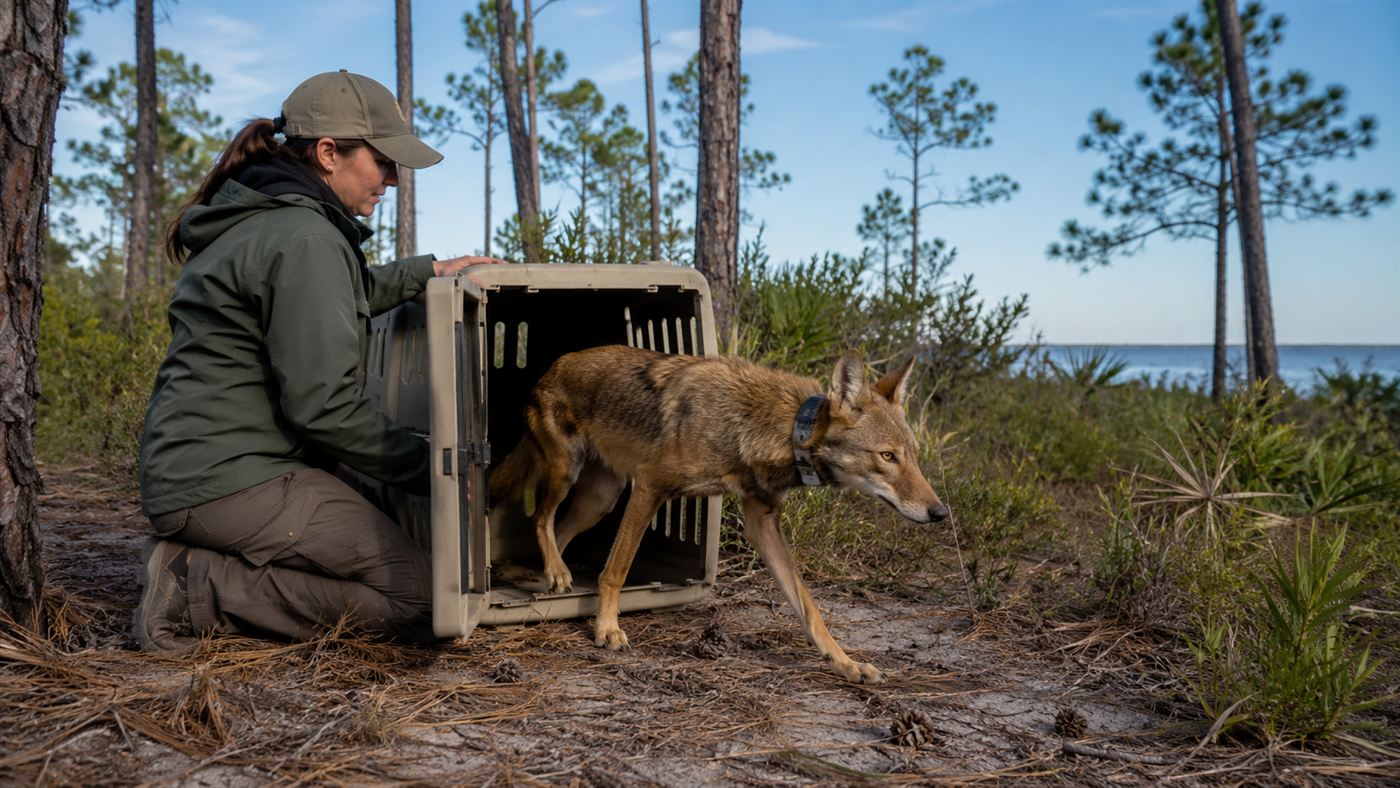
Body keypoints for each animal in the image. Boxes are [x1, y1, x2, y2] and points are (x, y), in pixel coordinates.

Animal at [488, 345, 949, 684]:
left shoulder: (762, 523)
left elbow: (809, 608)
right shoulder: (649, 489)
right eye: (887, 456)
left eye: (913, 455)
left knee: (557, 534)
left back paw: (553, 577)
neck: (780, 428)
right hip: (570, 474)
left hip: (600, 499)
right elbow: (615, 571)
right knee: (539, 519)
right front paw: (606, 628)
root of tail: (551, 367)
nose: (940, 512)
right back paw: (554, 574)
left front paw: (844, 663)